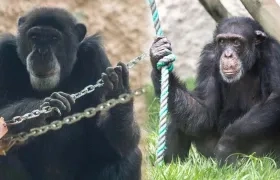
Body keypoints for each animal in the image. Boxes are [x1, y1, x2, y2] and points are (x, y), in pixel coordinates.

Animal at [0, 6, 141, 179]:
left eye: (54, 38)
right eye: (34, 37)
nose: (41, 52)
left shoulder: (96, 57)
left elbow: (117, 144)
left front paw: (118, 91)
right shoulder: (3, 54)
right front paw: (43, 108)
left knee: (127, 156)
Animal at [150, 17, 280, 166]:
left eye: (236, 42)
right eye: (222, 41)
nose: (228, 55)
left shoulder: (273, 54)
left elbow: (276, 98)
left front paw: (227, 144)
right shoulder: (209, 58)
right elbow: (205, 109)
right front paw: (158, 57)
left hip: (258, 158)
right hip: (209, 154)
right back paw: (172, 164)